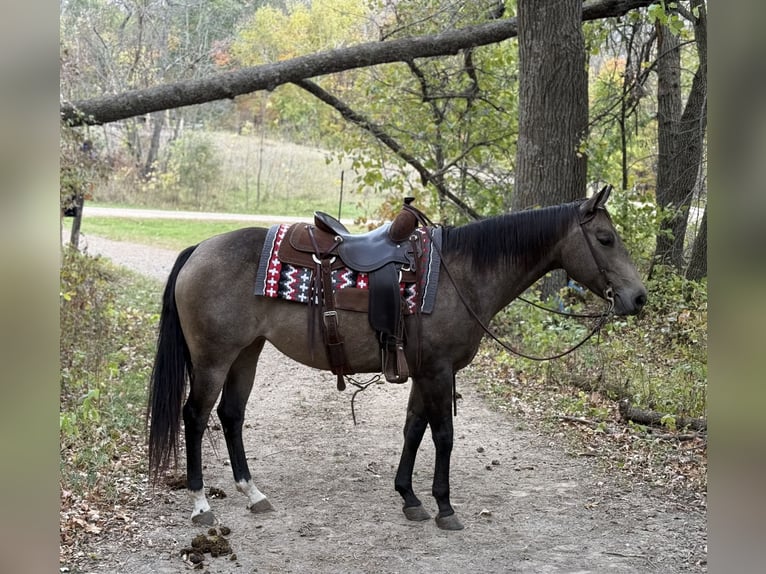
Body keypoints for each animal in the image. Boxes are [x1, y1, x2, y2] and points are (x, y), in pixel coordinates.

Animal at [147, 185, 647, 531]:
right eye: (605, 238)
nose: (638, 298)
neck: (460, 274)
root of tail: (199, 249)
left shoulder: (424, 371)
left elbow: (413, 429)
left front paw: (409, 497)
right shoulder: (438, 371)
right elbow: (442, 436)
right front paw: (444, 506)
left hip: (246, 353)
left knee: (231, 415)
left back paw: (252, 493)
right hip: (213, 359)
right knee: (195, 417)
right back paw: (201, 504)